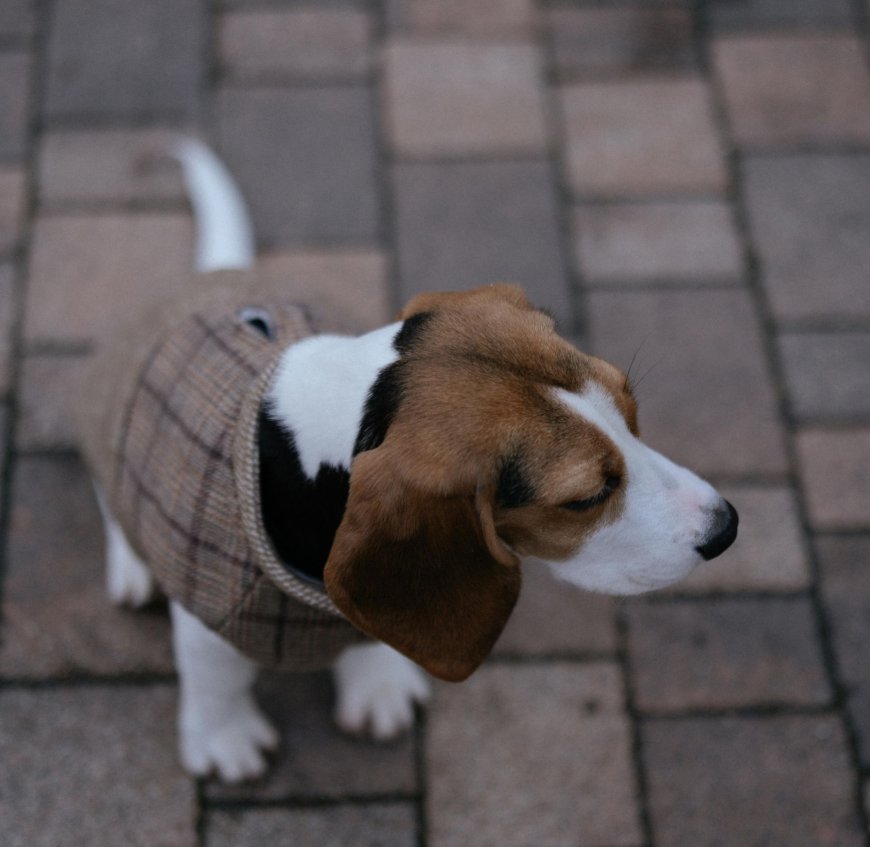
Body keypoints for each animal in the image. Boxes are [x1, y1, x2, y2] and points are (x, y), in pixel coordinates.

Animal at [75, 139, 736, 780]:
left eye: (631, 408)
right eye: (585, 498)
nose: (726, 528)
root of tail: (215, 276)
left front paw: (377, 684)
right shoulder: (208, 618)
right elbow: (215, 675)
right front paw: (224, 739)